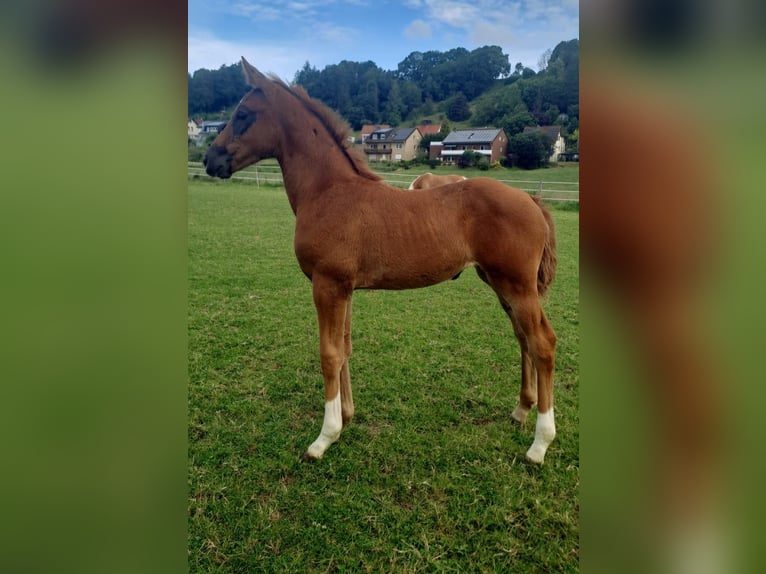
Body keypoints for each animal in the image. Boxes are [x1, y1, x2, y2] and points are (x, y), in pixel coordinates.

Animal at [206, 57, 560, 464]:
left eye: (243, 114)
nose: (210, 160)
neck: (329, 192)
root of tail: (530, 199)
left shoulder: (327, 285)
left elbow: (329, 354)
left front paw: (325, 437)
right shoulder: (344, 289)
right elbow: (344, 348)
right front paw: (346, 417)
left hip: (517, 285)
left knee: (543, 343)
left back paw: (540, 444)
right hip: (501, 283)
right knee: (524, 338)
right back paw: (521, 410)